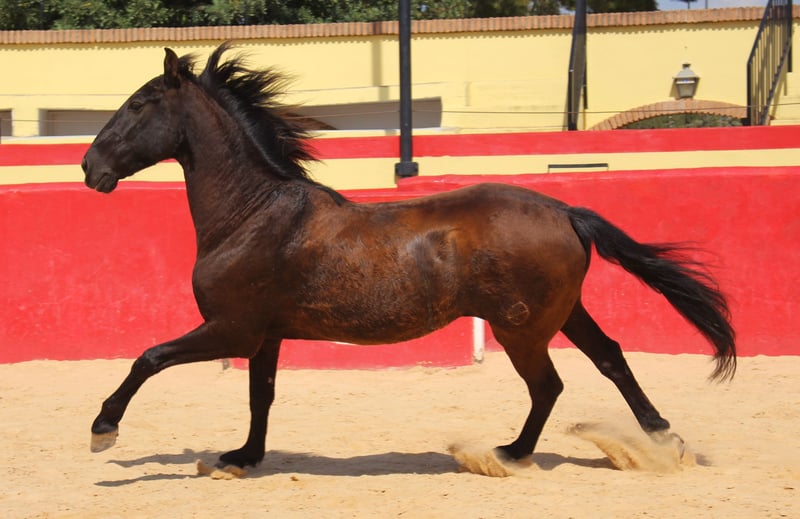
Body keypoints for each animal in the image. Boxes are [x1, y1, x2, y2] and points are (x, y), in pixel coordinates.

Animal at [82, 43, 735, 472]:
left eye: (139, 104)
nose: (90, 168)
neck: (252, 214)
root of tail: (564, 210)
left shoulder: (231, 329)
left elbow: (148, 357)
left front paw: (103, 430)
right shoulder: (263, 335)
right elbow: (258, 395)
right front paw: (242, 457)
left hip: (521, 329)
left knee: (549, 384)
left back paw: (510, 454)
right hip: (561, 314)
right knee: (610, 359)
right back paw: (661, 441)